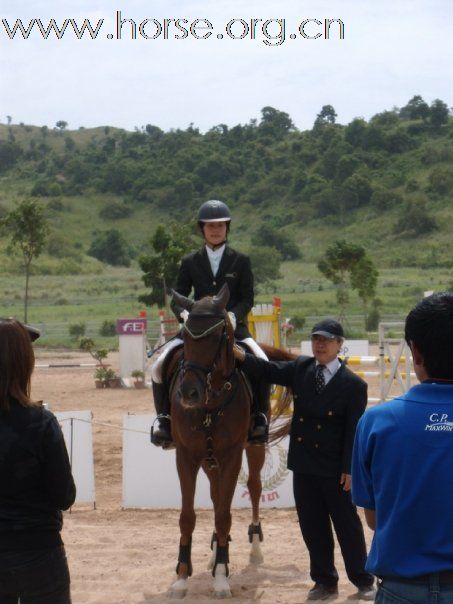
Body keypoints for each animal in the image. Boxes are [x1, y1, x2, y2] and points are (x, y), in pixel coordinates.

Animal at [167, 286, 264, 596]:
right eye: (185, 338)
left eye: (214, 338)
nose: (188, 393)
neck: (210, 404)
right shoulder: (186, 456)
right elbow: (188, 516)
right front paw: (182, 576)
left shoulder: (232, 455)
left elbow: (224, 514)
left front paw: (221, 576)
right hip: (209, 460)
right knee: (215, 494)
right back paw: (214, 551)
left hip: (254, 449)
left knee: (254, 488)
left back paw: (253, 548)